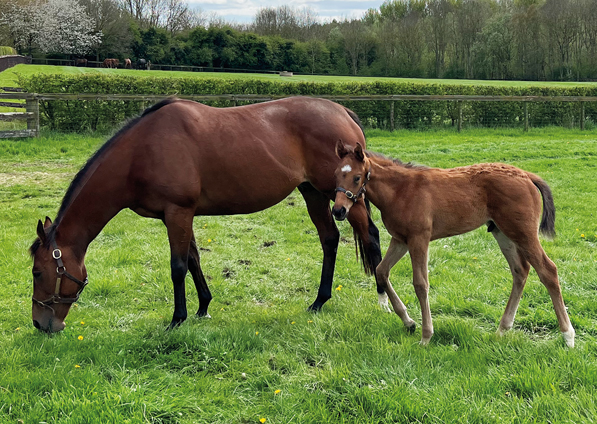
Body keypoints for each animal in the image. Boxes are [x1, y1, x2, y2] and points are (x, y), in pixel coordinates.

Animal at [330, 142, 572, 348]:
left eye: (357, 177)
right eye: (336, 175)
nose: (338, 211)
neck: (401, 190)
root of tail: (528, 176)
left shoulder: (419, 238)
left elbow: (420, 284)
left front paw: (426, 336)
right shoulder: (400, 240)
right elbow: (381, 271)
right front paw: (409, 322)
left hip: (523, 233)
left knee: (548, 270)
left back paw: (568, 336)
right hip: (502, 232)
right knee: (520, 271)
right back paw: (503, 329)